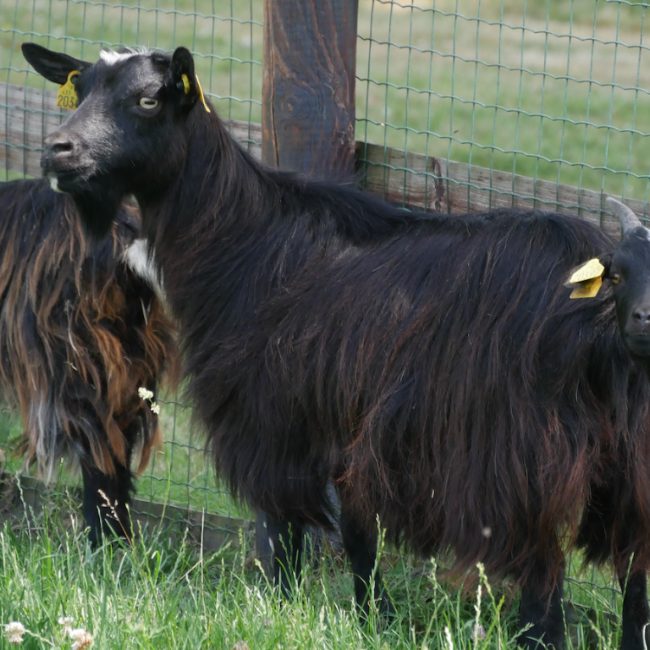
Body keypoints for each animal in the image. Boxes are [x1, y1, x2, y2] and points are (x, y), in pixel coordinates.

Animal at [0, 177, 175, 544]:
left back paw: (101, 539)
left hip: (78, 354)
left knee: (99, 448)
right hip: (131, 355)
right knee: (120, 438)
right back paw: (118, 538)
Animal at [24, 42, 650, 648]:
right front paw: (372, 617)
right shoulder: (343, 429)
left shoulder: (272, 419)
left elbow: (287, 529)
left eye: (149, 100)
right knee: (634, 572)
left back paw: (536, 640)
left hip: (522, 461)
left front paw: (281, 605)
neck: (240, 240)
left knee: (544, 572)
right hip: (626, 465)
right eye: (80, 87)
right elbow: (356, 535)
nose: (58, 151)